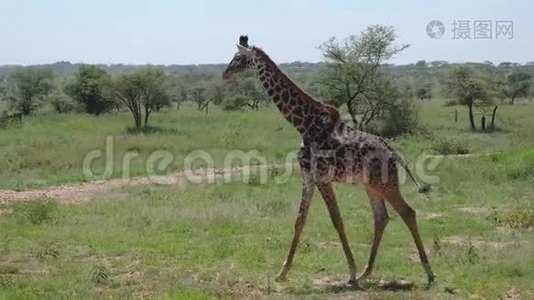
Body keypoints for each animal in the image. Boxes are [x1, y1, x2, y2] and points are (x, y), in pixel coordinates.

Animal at [222, 35, 436, 286]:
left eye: (238, 57)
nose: (225, 73)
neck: (302, 123)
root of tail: (393, 152)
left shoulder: (322, 177)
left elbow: (336, 220)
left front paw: (350, 272)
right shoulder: (308, 176)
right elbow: (300, 220)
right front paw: (282, 272)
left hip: (386, 183)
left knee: (408, 213)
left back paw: (429, 272)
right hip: (372, 185)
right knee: (381, 218)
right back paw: (366, 272)